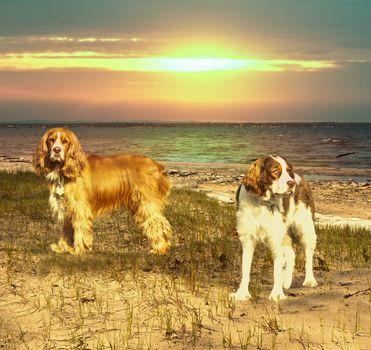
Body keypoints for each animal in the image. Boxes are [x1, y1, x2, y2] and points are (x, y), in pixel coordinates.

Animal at [231, 156, 318, 300]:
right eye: (275, 171)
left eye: (289, 171)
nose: (292, 183)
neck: (262, 203)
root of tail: (300, 178)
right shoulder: (247, 238)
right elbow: (245, 268)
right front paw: (242, 293)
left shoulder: (275, 239)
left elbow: (277, 268)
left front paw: (277, 294)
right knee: (291, 254)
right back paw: (286, 281)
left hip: (304, 226)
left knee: (308, 253)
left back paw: (310, 280)